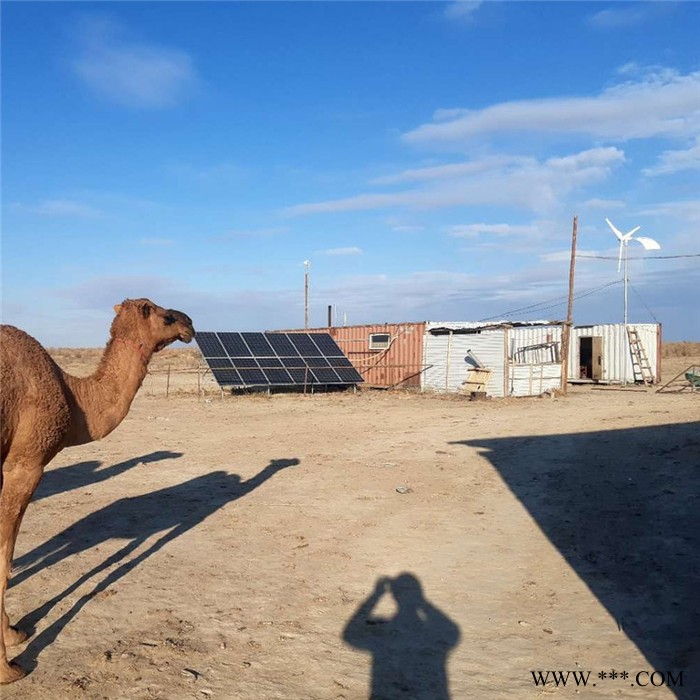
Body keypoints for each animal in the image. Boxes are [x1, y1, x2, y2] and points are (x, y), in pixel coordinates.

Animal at [0, 296, 194, 684]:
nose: (190, 324)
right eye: (167, 316)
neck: (73, 397)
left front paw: (13, 632)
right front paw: (7, 668)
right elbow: (4, 553)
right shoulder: (24, 462)